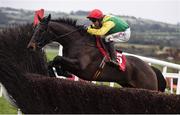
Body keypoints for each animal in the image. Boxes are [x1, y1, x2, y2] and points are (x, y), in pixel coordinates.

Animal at [27, 14, 167, 91]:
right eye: (35, 28)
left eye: (41, 30)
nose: (30, 46)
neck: (77, 42)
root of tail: (151, 69)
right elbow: (53, 62)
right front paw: (57, 72)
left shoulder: (81, 67)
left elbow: (57, 58)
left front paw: (62, 72)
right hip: (129, 86)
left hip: (147, 87)